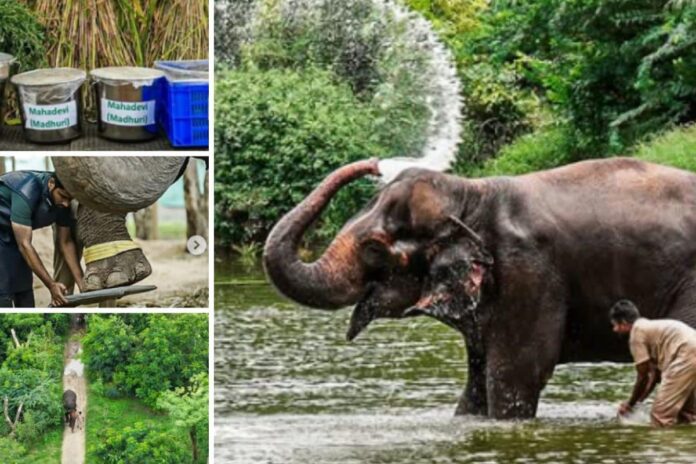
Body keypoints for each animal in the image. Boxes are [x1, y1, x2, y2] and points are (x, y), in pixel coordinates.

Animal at [263, 157, 696, 419]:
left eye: (373, 248)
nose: (373, 163)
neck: (472, 192)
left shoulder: (528, 273)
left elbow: (516, 373)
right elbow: (477, 379)